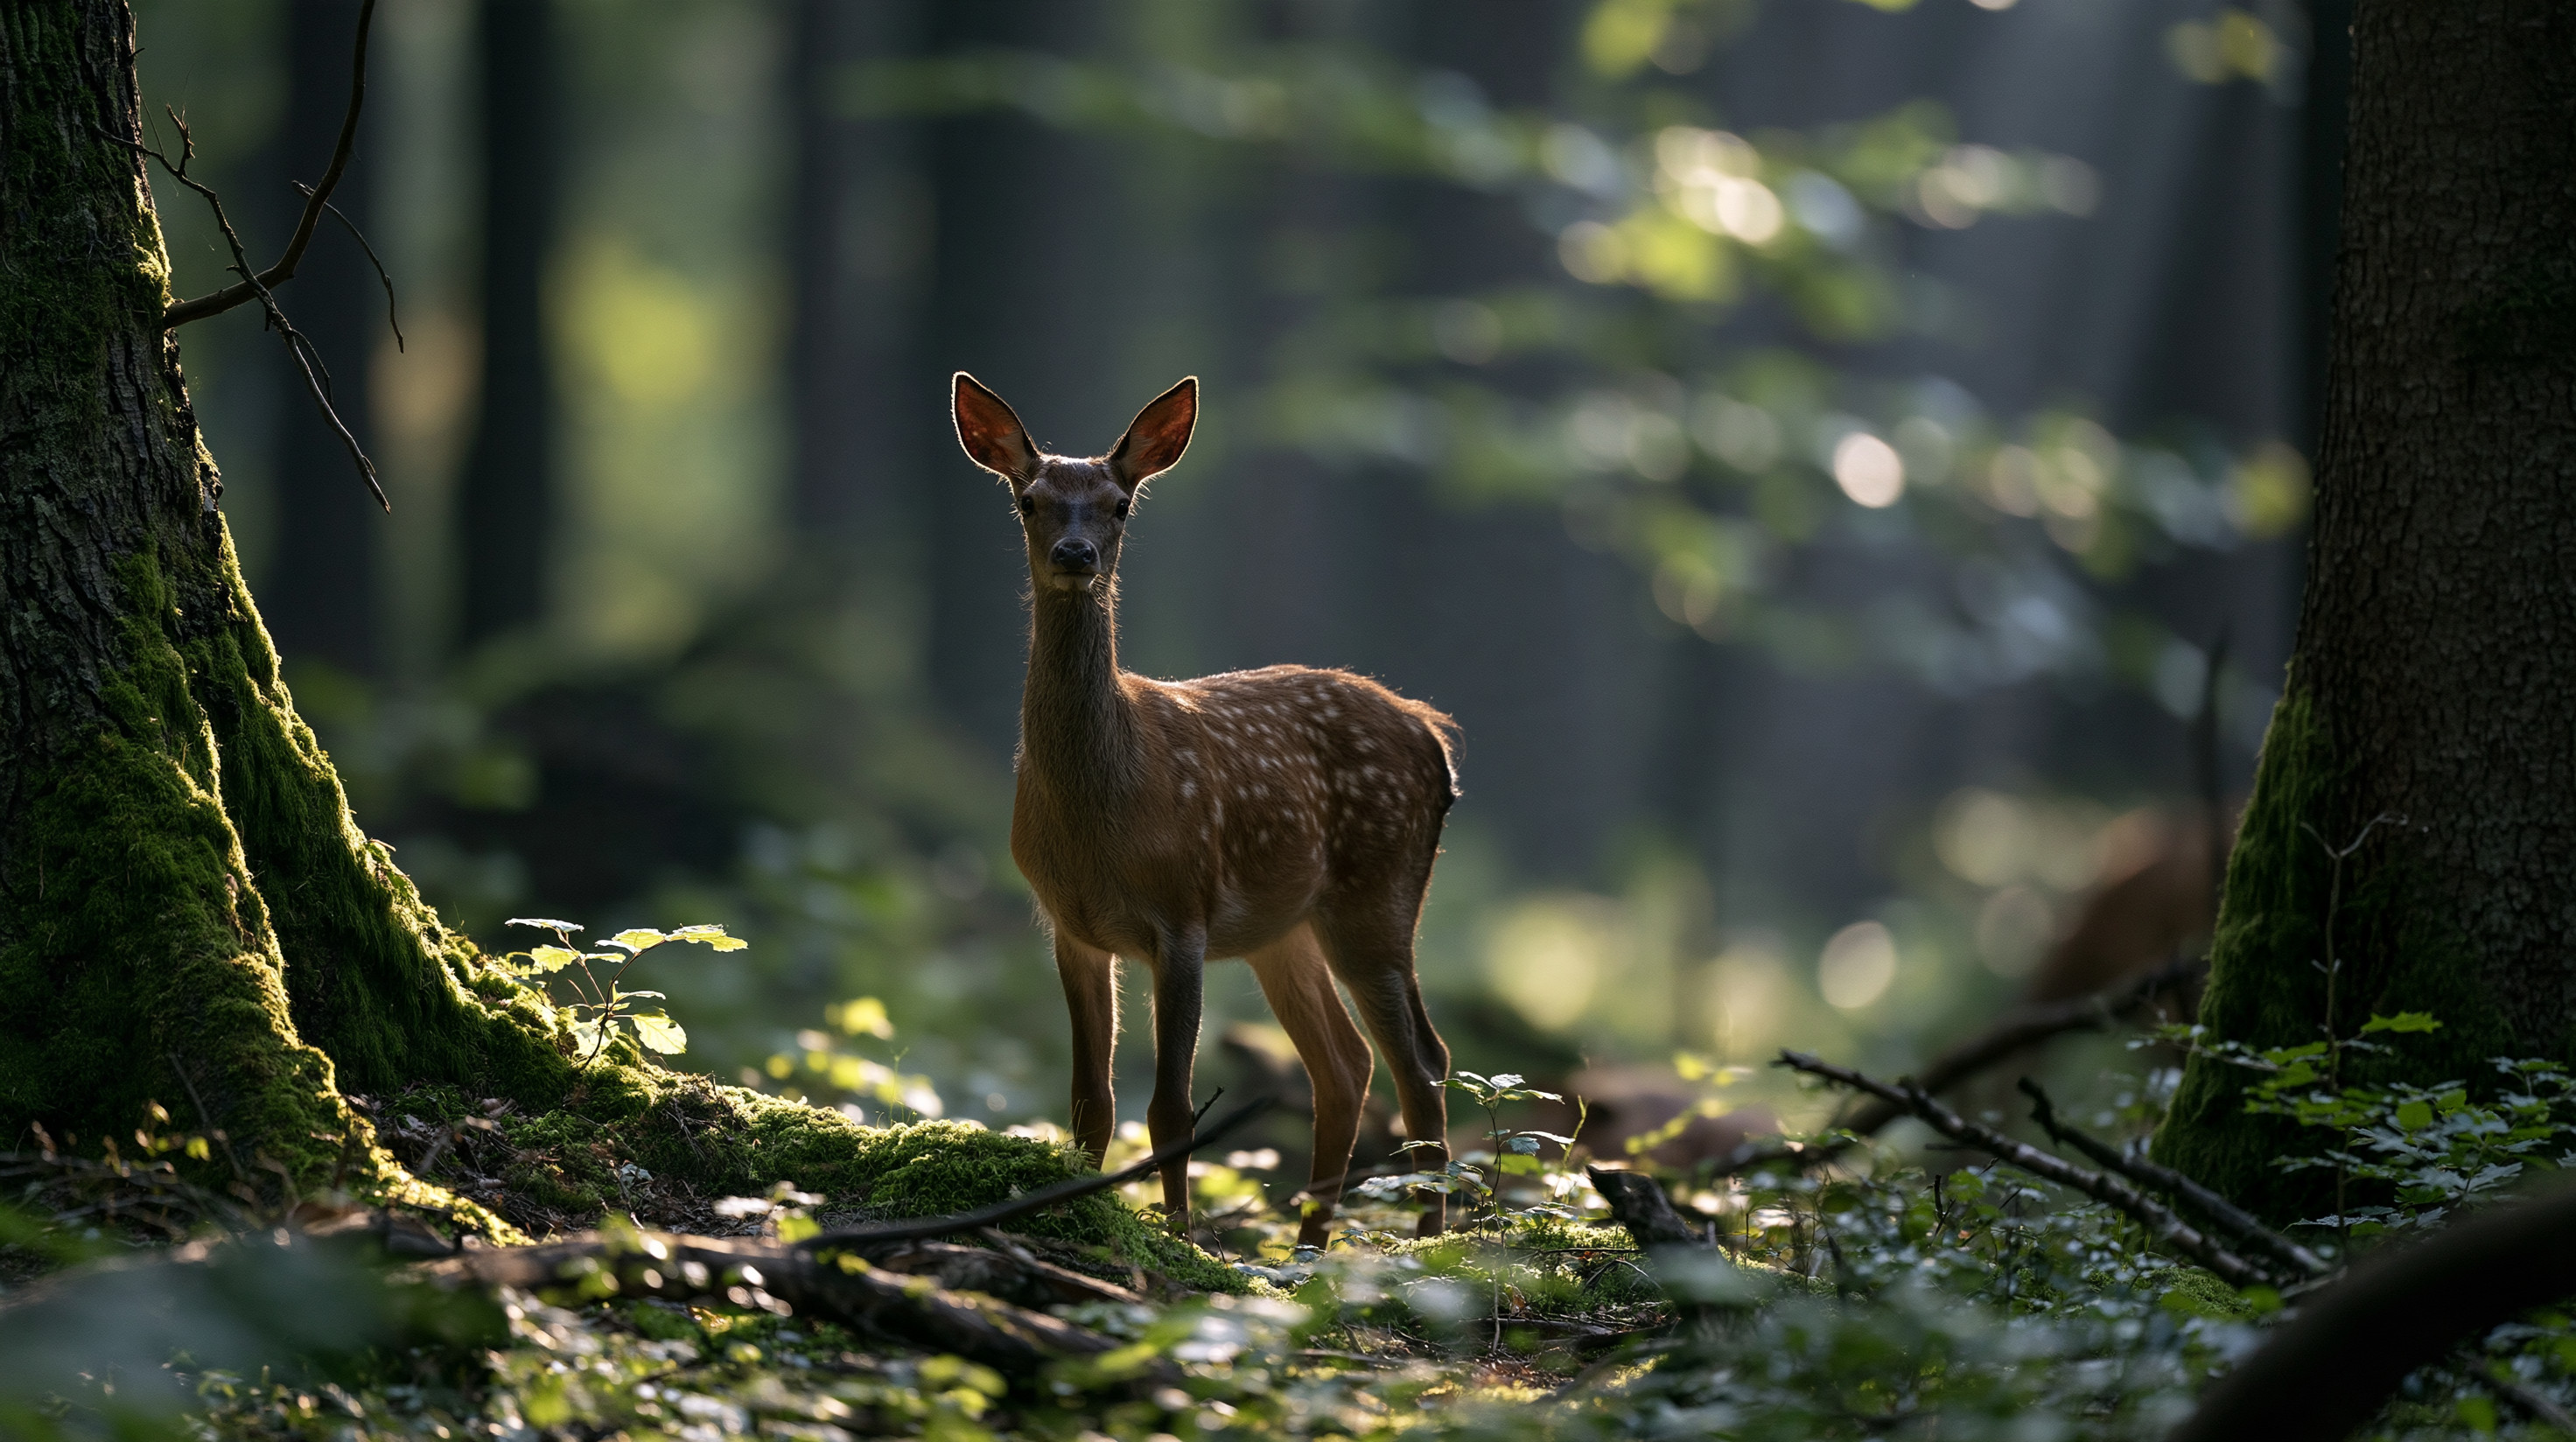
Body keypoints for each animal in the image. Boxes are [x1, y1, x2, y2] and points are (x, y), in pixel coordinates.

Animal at [950, 372, 1459, 1245]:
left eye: (1120, 503)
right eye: (1029, 499)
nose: (1076, 554)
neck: (1101, 815)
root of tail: (1434, 734)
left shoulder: (1181, 913)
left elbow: (1171, 1109)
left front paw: (1181, 1238)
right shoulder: (1069, 925)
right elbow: (1090, 1103)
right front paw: (1081, 1211)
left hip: (1379, 891)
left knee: (1423, 1065)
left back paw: (1431, 1251)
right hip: (1285, 931)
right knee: (1346, 1066)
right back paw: (1307, 1251)